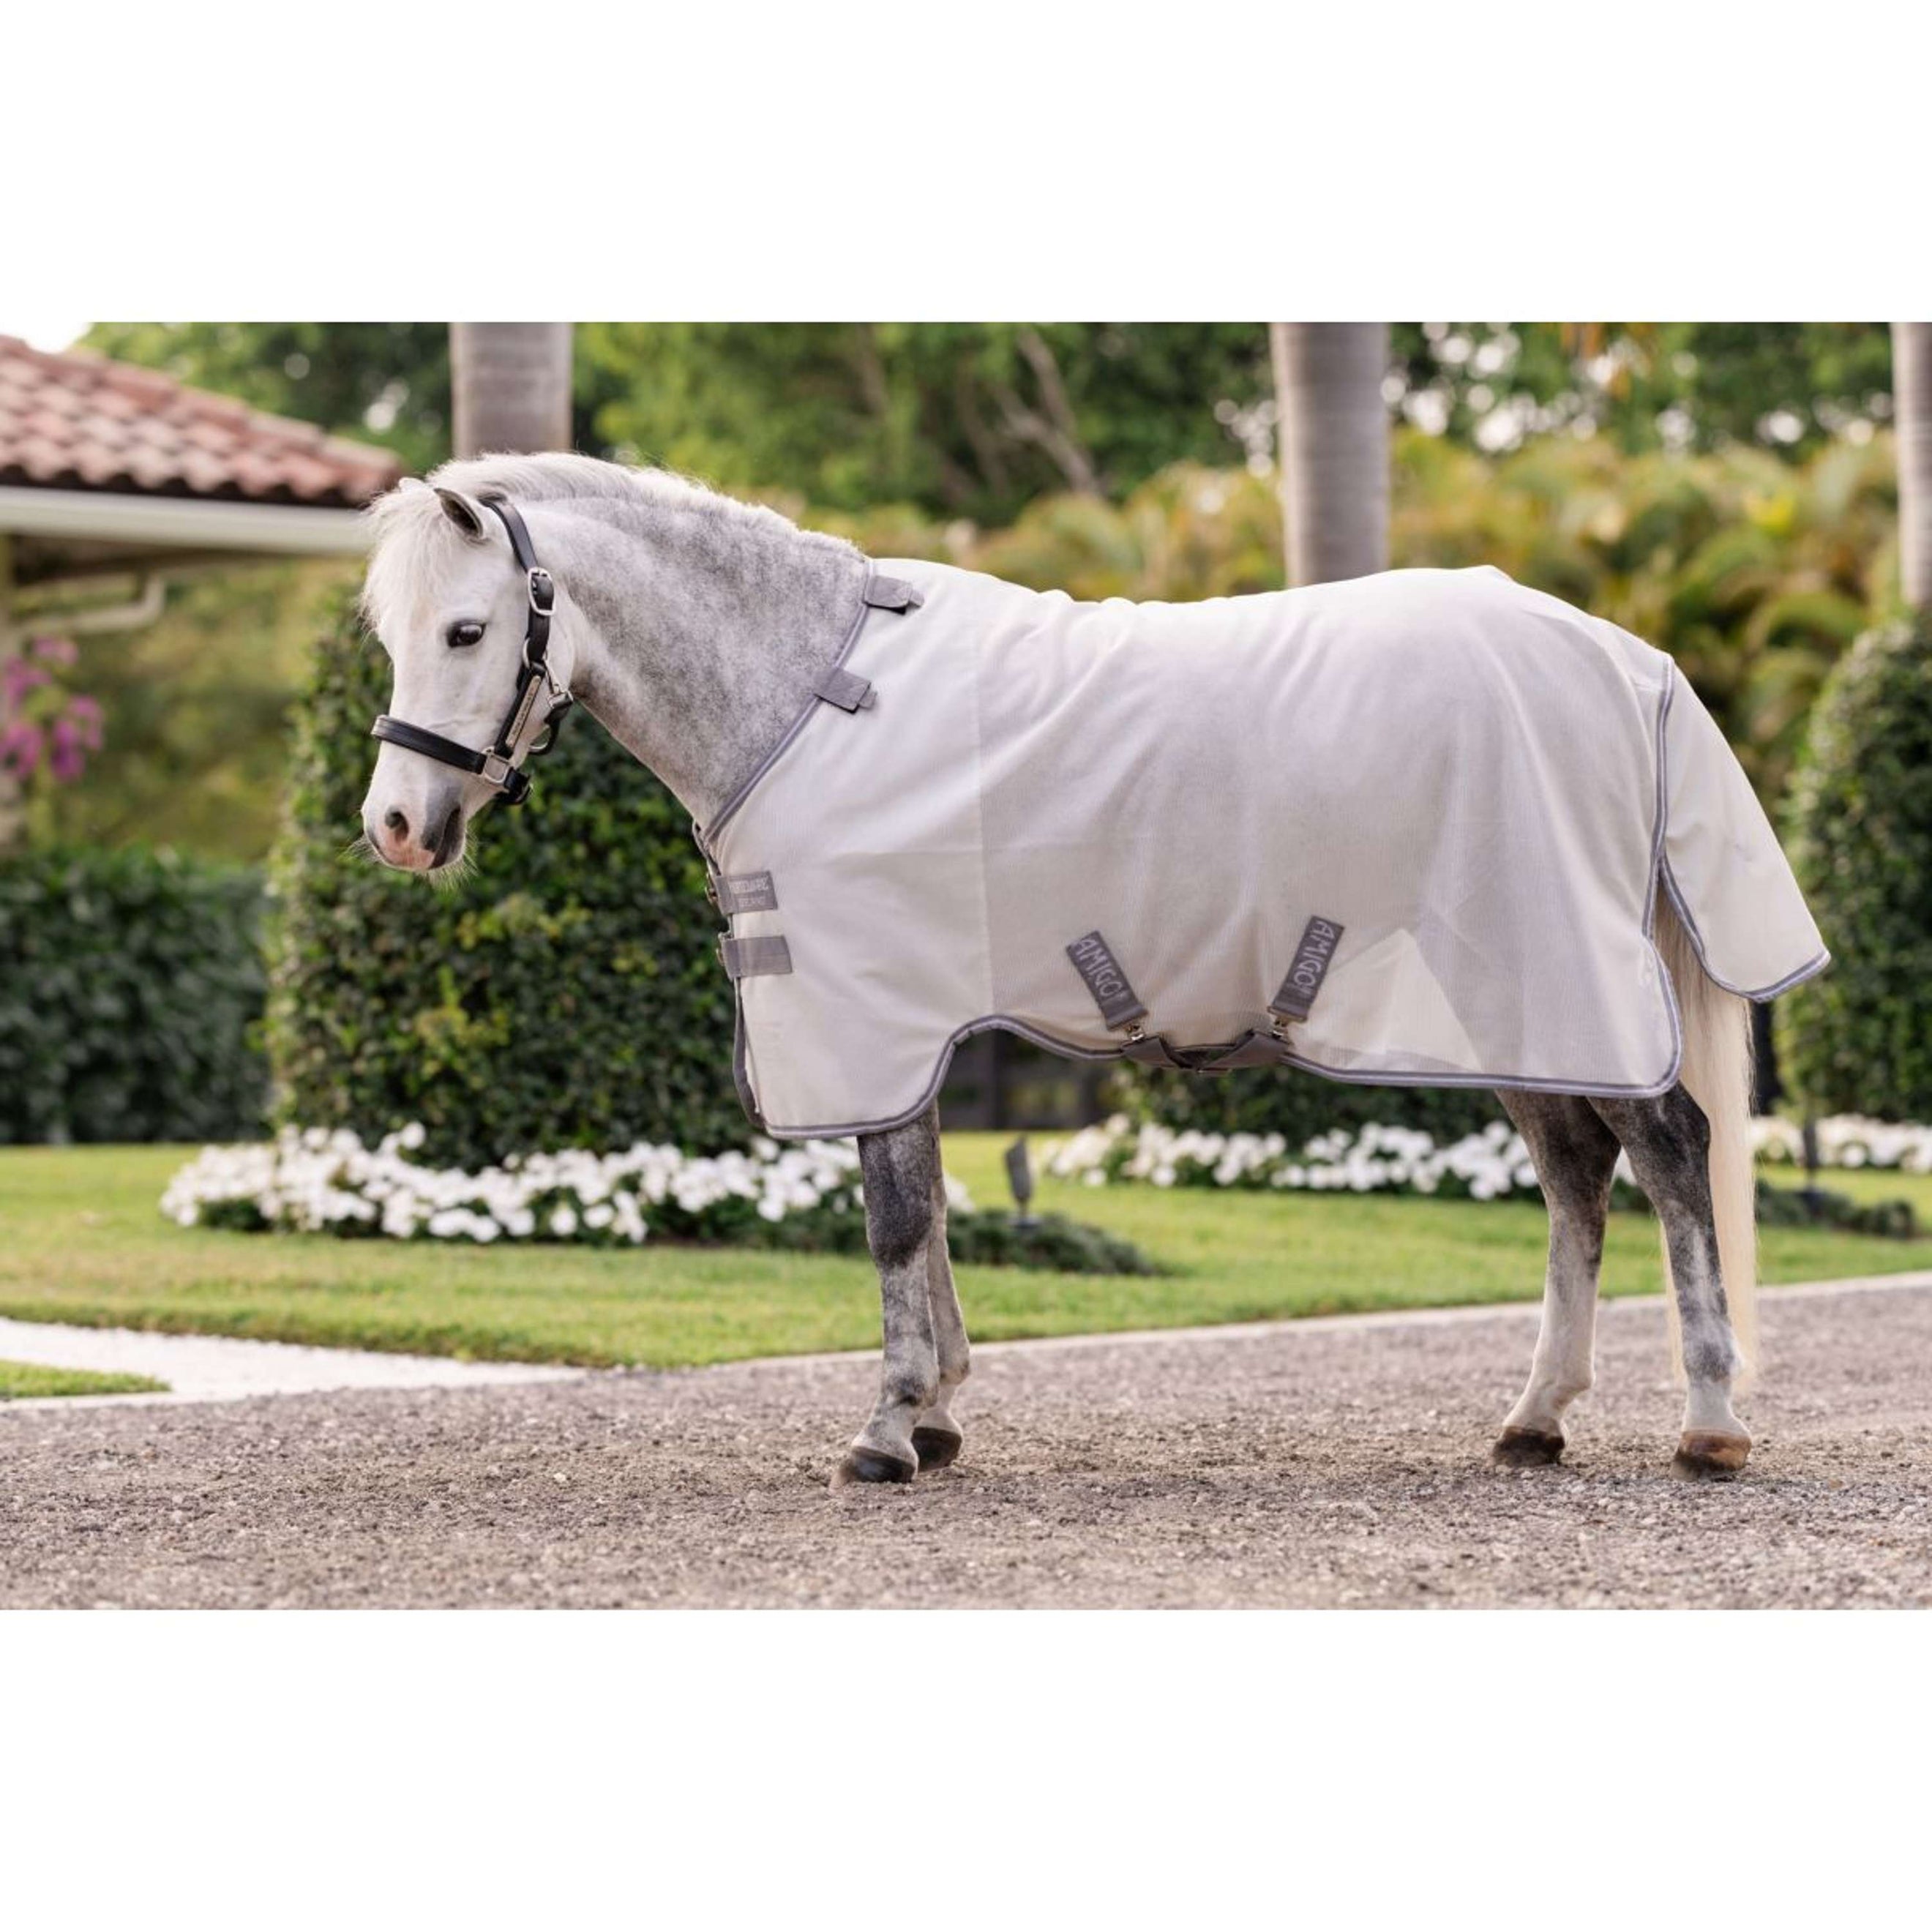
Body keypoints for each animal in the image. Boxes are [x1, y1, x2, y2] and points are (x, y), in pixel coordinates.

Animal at [358, 451, 1825, 1488]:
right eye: (390, 633)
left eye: (468, 631)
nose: (395, 828)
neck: (808, 697)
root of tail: (1629, 660)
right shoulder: (916, 1028)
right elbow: (933, 1217)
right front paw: (939, 1414)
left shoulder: (875, 1017)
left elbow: (895, 1220)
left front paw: (888, 1430)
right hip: (1516, 1002)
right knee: (1580, 1177)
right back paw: (1534, 1420)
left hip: (1558, 977)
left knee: (1672, 1153)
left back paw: (1707, 1421)